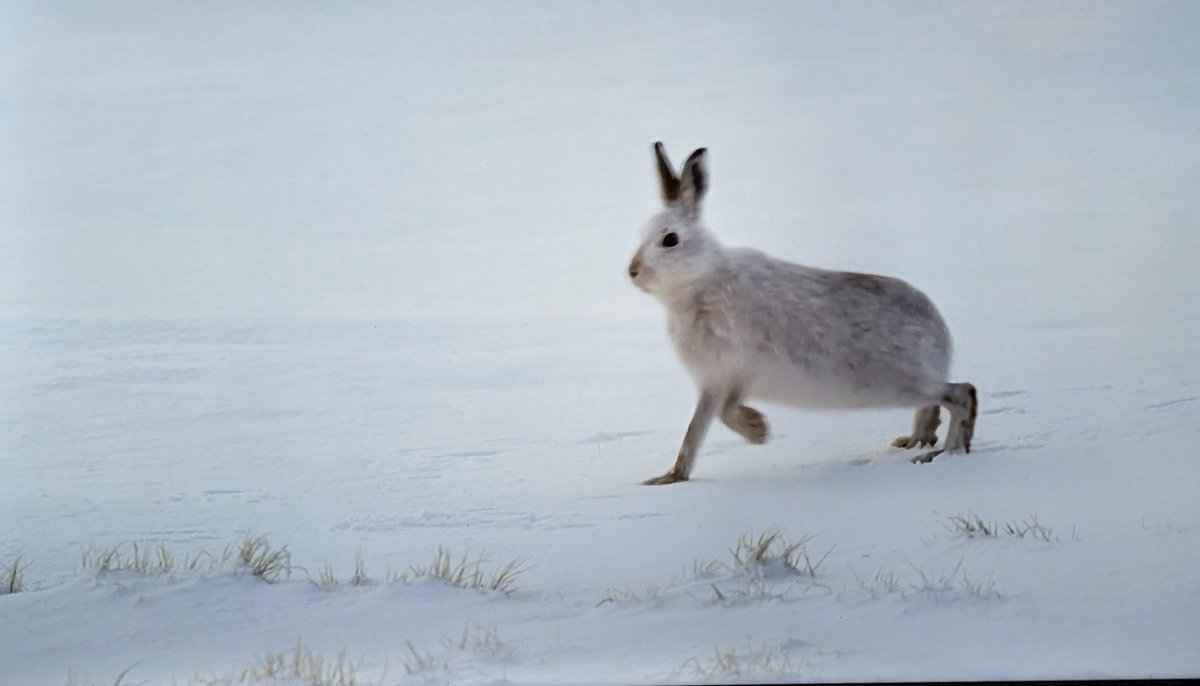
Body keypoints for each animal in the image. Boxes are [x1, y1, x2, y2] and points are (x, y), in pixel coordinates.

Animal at [628, 142, 977, 485]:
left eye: (670, 240)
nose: (633, 271)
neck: (700, 281)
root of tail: (940, 335)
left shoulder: (726, 372)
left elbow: (714, 418)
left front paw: (757, 431)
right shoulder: (720, 380)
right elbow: (700, 428)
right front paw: (671, 477)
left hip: (901, 383)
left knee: (962, 393)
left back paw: (946, 452)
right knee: (935, 405)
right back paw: (917, 441)